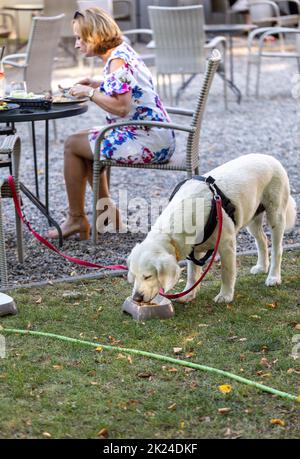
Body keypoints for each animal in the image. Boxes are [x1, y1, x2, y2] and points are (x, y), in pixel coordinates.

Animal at [127, 155, 298, 306]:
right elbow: (192, 275)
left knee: (277, 249)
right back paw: (262, 267)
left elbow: (227, 273)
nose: (136, 298)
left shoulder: (226, 245)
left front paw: (225, 296)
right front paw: (188, 294)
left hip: (276, 215)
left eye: (148, 276)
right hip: (252, 218)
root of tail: (270, 158)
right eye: (134, 276)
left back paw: (273, 277)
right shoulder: (193, 251)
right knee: (262, 240)